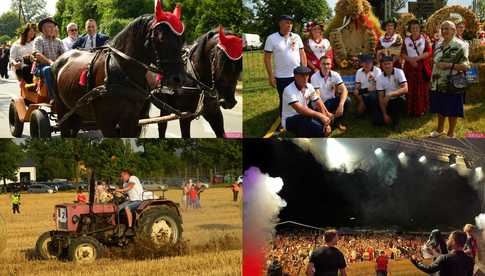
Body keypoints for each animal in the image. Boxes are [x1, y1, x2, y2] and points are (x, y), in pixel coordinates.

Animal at [51, 1, 185, 137]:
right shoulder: (106, 121)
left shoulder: (131, 119)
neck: (122, 71)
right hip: (62, 109)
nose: (178, 79)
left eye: (182, 39)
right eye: (161, 38)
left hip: (76, 111)